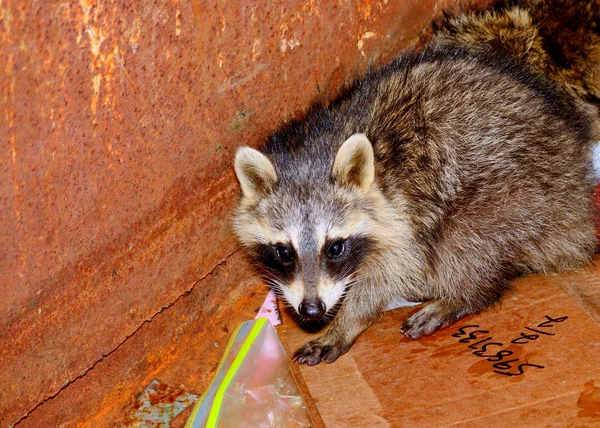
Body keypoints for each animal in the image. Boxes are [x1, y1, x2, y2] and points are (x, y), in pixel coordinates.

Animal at [232, 0, 596, 368]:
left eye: (335, 248)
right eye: (284, 251)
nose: (311, 309)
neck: (313, 152)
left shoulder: (404, 216)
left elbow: (387, 275)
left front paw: (347, 321)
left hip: (523, 190)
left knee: (467, 239)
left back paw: (463, 294)